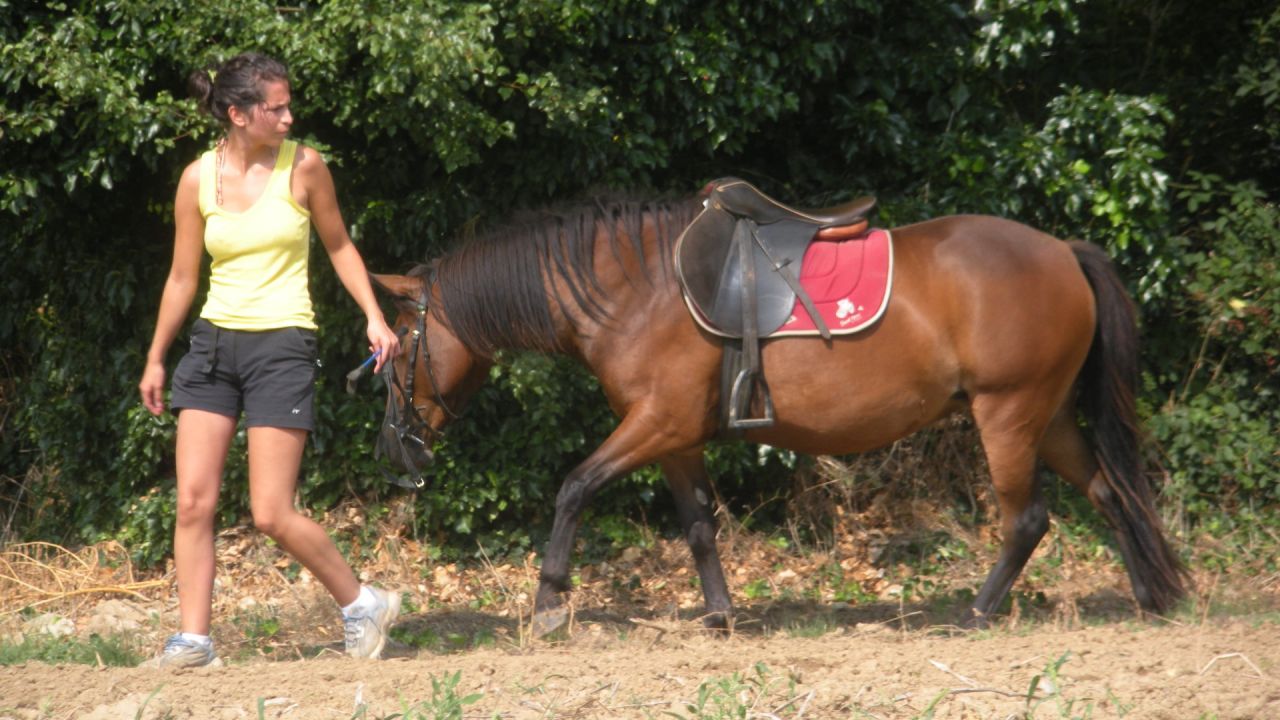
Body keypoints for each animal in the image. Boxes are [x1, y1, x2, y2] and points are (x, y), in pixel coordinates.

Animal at [368, 190, 1187, 636]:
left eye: (400, 340)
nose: (395, 448)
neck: (633, 289)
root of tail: (1063, 251)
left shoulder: (654, 425)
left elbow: (573, 488)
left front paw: (547, 604)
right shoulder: (675, 438)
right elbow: (699, 526)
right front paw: (720, 613)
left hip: (1008, 415)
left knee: (1027, 520)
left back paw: (979, 613)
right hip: (1048, 417)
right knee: (1112, 492)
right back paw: (1151, 595)